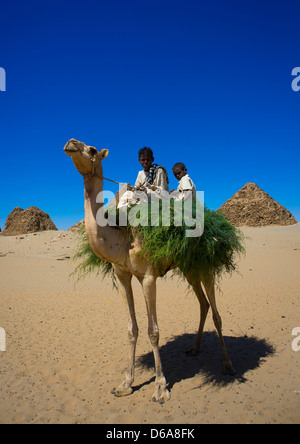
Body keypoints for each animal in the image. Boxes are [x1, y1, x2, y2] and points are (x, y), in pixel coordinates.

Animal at [64, 138, 236, 402]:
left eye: (92, 150)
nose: (70, 143)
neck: (122, 237)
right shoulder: (122, 275)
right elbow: (131, 329)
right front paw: (125, 384)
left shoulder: (148, 277)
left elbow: (153, 331)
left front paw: (160, 387)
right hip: (189, 268)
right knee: (203, 304)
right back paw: (194, 349)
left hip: (205, 265)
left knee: (216, 313)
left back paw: (228, 365)